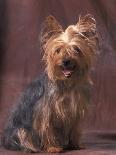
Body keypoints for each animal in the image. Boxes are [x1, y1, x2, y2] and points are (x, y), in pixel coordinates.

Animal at [1, 14, 98, 153]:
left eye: (76, 49)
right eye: (58, 50)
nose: (66, 61)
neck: (67, 84)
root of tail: (5, 140)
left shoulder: (75, 113)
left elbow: (74, 129)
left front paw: (76, 144)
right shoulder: (45, 114)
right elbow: (47, 130)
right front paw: (53, 147)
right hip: (21, 131)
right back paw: (31, 148)